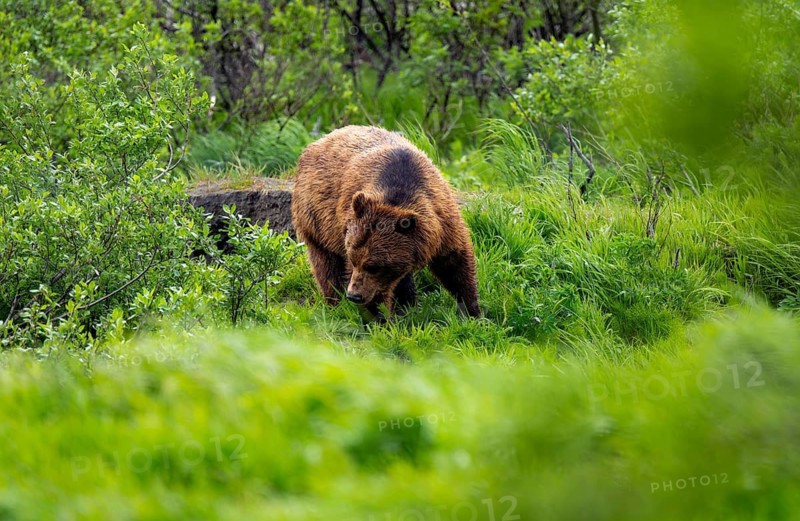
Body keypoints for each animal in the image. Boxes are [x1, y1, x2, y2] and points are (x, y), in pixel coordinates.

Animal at [291, 125, 480, 318]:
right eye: (353, 260)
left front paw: (472, 311)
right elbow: (375, 291)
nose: (354, 295)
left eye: (373, 266)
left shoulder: (442, 219)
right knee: (326, 266)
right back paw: (335, 304)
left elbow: (454, 264)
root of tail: (318, 141)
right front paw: (381, 318)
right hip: (316, 219)